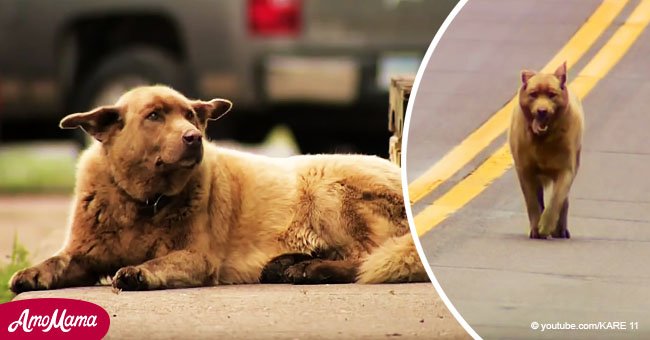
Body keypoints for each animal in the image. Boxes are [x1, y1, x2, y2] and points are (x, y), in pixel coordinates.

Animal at [10, 85, 426, 292]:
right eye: (154, 116)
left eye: (190, 116)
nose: (194, 138)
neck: (143, 202)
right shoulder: (84, 254)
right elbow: (58, 262)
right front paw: (31, 274)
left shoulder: (197, 257)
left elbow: (158, 263)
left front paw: (139, 273)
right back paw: (288, 265)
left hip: (329, 190)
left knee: (366, 257)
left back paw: (311, 269)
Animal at [506, 63, 584, 239]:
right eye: (533, 94)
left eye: (552, 95)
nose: (542, 110)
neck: (543, 139)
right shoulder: (525, 170)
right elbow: (532, 201)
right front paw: (536, 228)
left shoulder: (566, 169)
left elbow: (557, 198)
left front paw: (546, 225)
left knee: (563, 201)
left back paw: (560, 230)